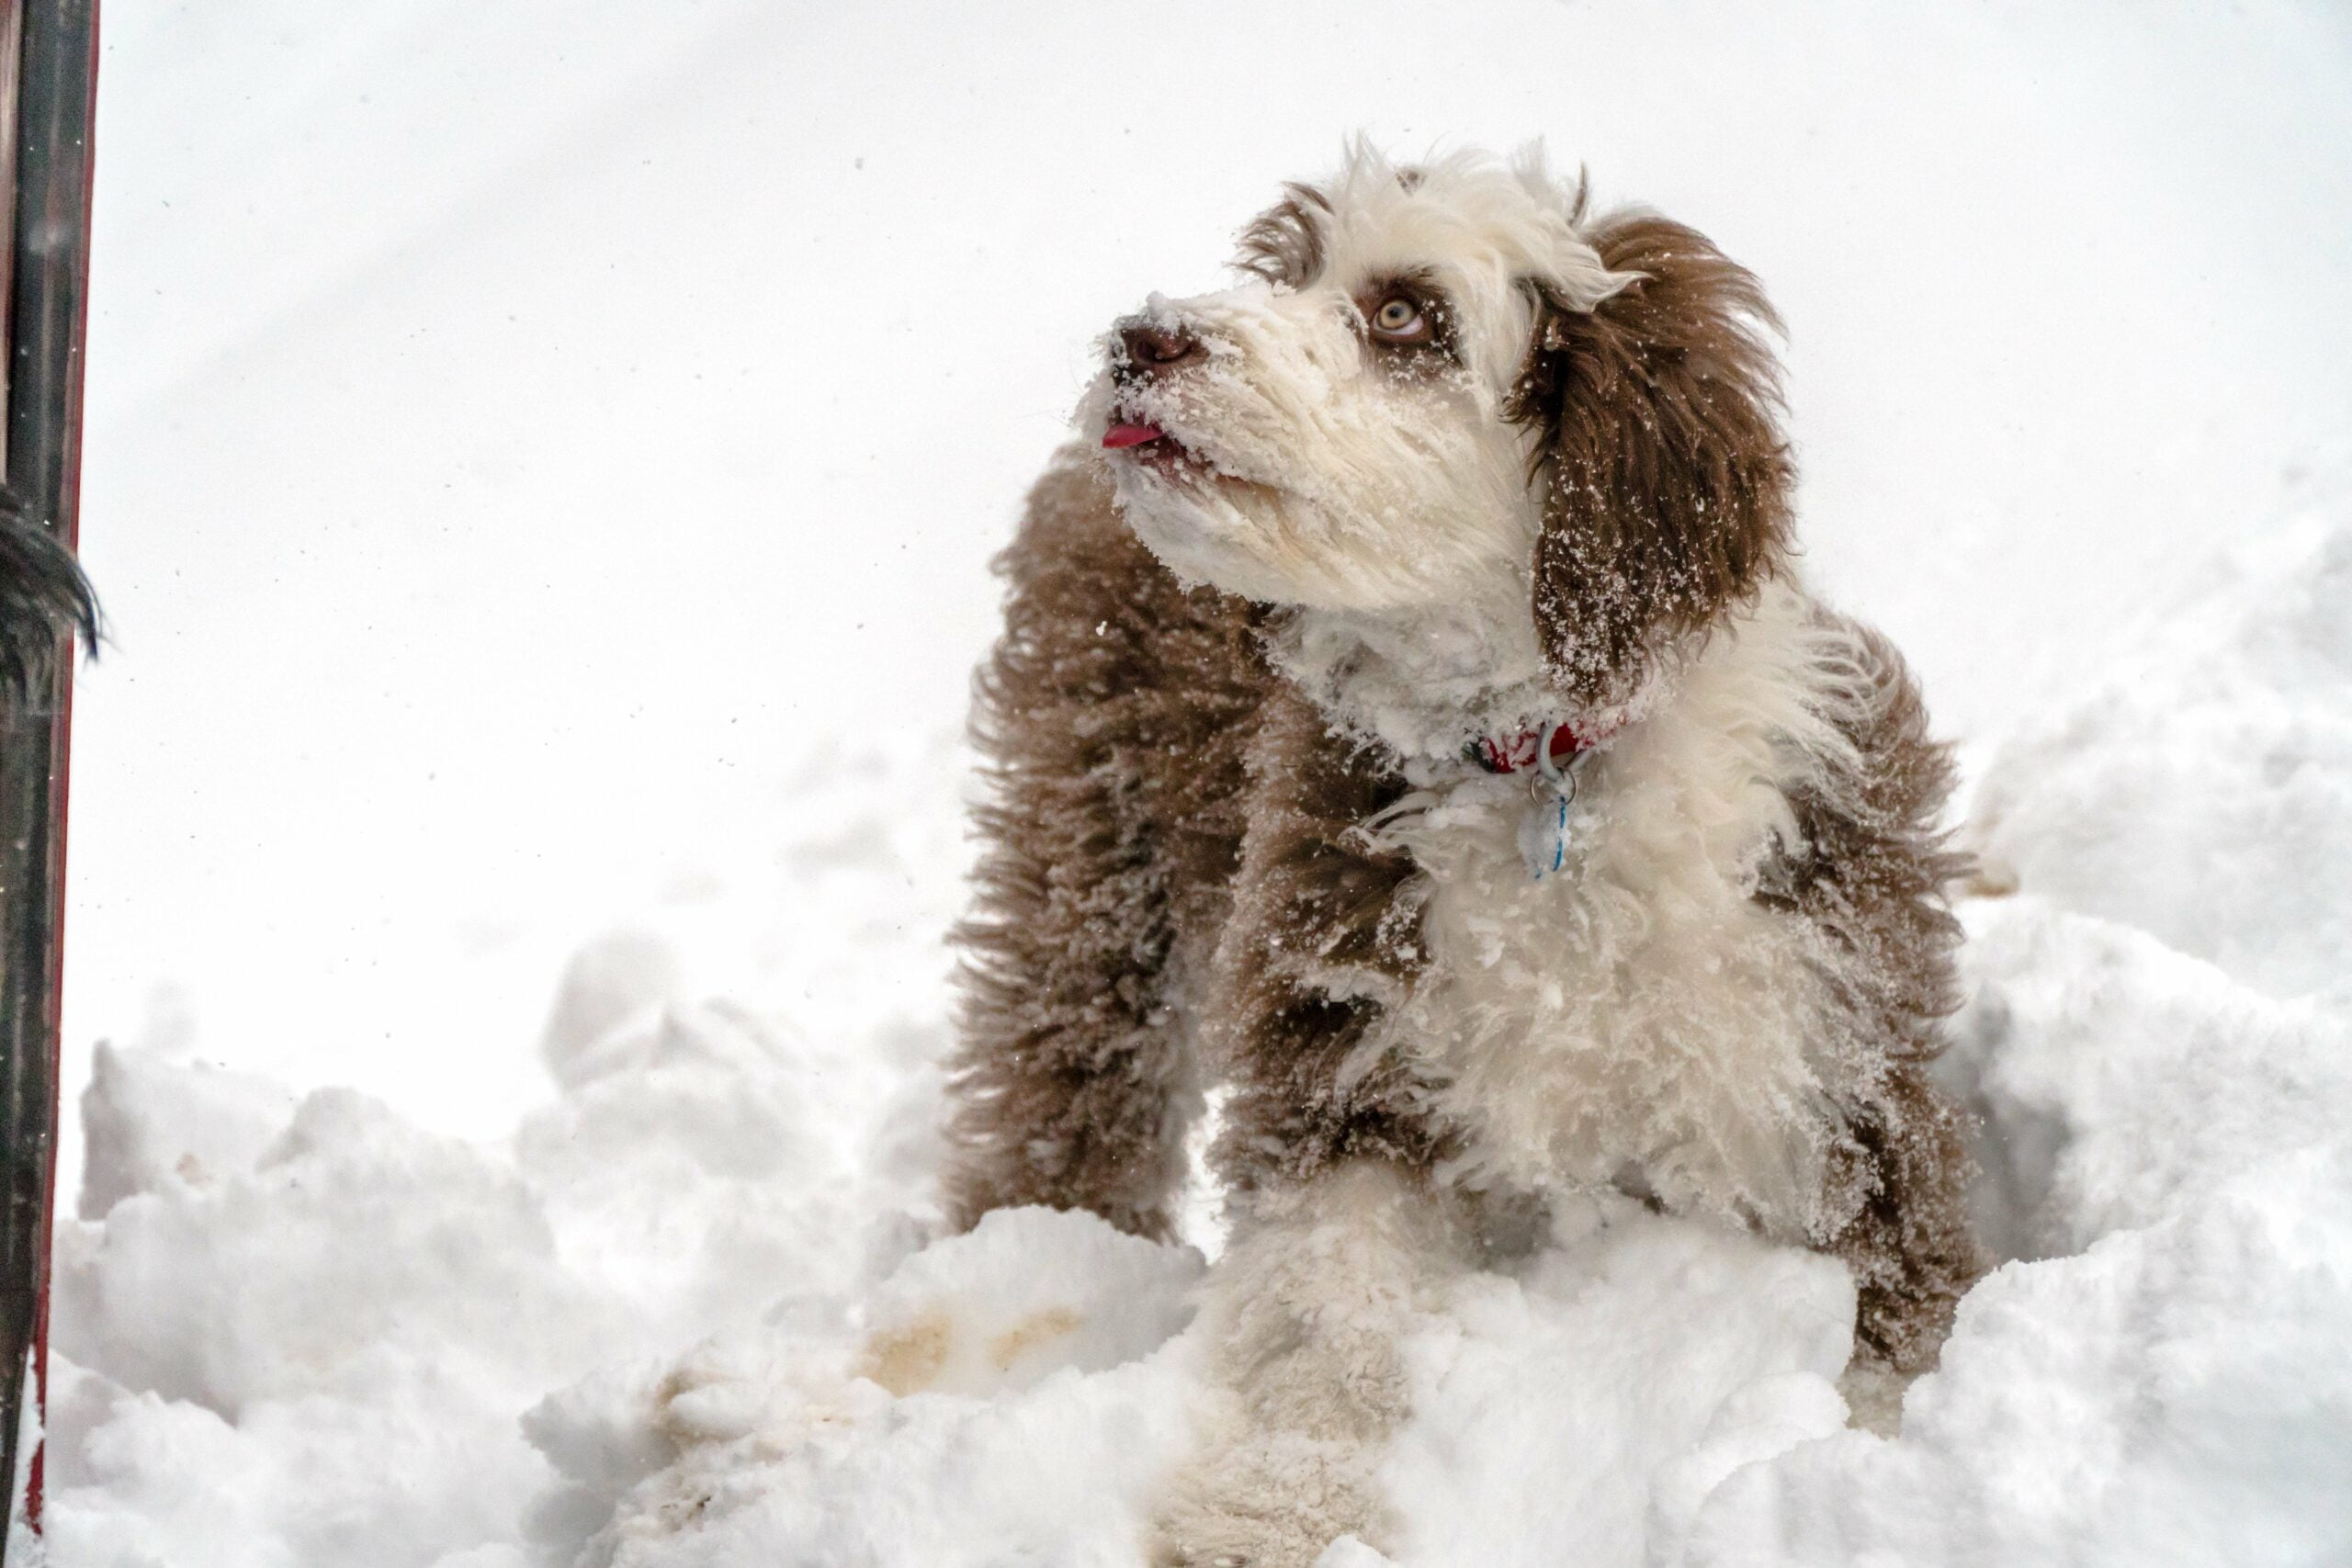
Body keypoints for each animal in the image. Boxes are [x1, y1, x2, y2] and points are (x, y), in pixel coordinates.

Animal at [935, 141, 1984, 1561]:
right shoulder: (1349, 1022)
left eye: (1405, 317)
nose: (1141, 337)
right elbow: (1328, 1292)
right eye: (1285, 271)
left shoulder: (1814, 1065)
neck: (1541, 759)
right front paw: (1276, 1503)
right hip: (1098, 844)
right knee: (1065, 1073)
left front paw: (1862, 1475)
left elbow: (1891, 1316)